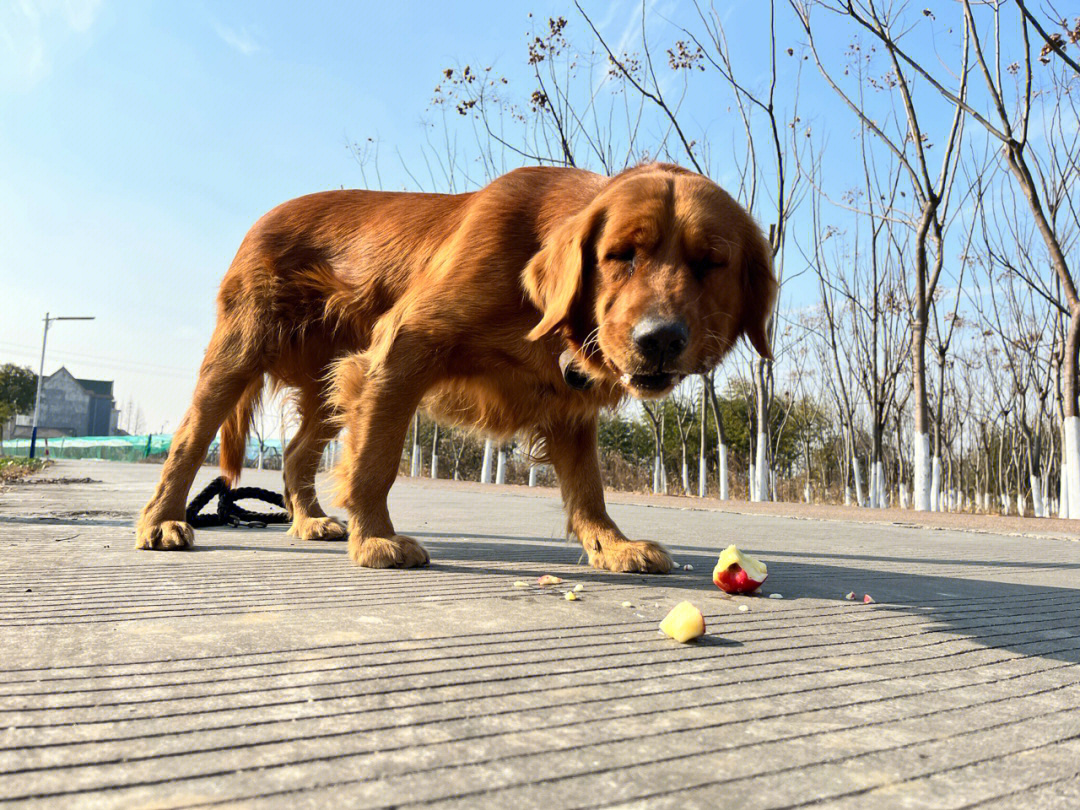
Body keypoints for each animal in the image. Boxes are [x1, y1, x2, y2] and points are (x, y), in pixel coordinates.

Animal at [135, 162, 777, 574]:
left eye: (710, 262)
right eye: (620, 255)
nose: (659, 339)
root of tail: (265, 217)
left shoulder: (567, 402)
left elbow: (588, 489)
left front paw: (610, 546)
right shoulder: (402, 347)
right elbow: (375, 464)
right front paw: (377, 539)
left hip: (332, 382)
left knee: (295, 454)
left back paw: (310, 521)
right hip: (240, 351)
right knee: (189, 439)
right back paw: (161, 522)